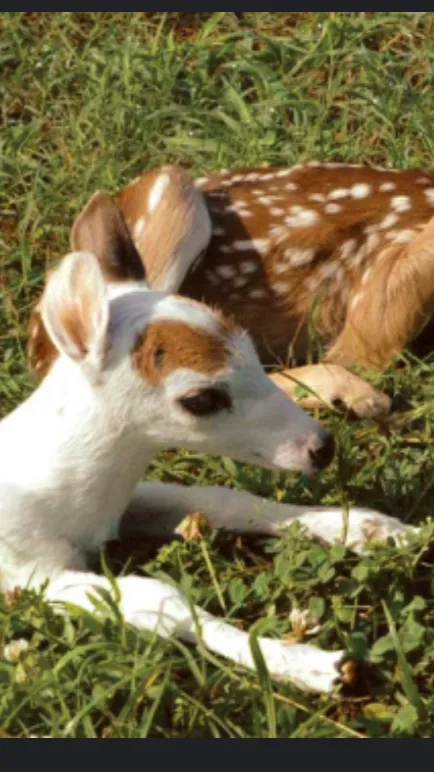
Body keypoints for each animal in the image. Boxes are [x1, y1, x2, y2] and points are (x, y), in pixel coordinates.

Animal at [0, 240, 415, 694]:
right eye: (201, 399)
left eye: (254, 352)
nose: (321, 447)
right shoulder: (31, 570)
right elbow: (161, 600)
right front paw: (313, 665)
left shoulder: (130, 499)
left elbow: (221, 500)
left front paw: (374, 528)